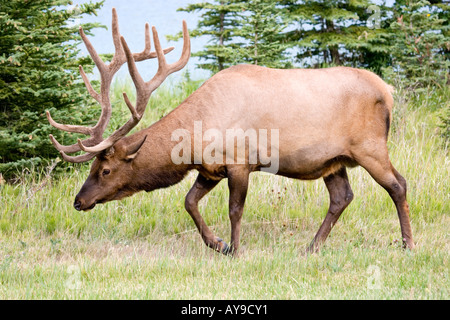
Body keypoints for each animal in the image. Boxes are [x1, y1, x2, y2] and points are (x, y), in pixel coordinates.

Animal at [46, 8, 414, 256]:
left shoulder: (240, 162)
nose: (79, 201)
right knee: (342, 197)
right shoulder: (209, 169)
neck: (194, 140)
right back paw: (311, 247)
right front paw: (216, 243)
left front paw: (234, 249)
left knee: (398, 184)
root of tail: (388, 91)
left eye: (106, 169)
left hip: (370, 146)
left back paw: (408, 243)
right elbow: (189, 202)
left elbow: (234, 209)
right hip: (333, 160)